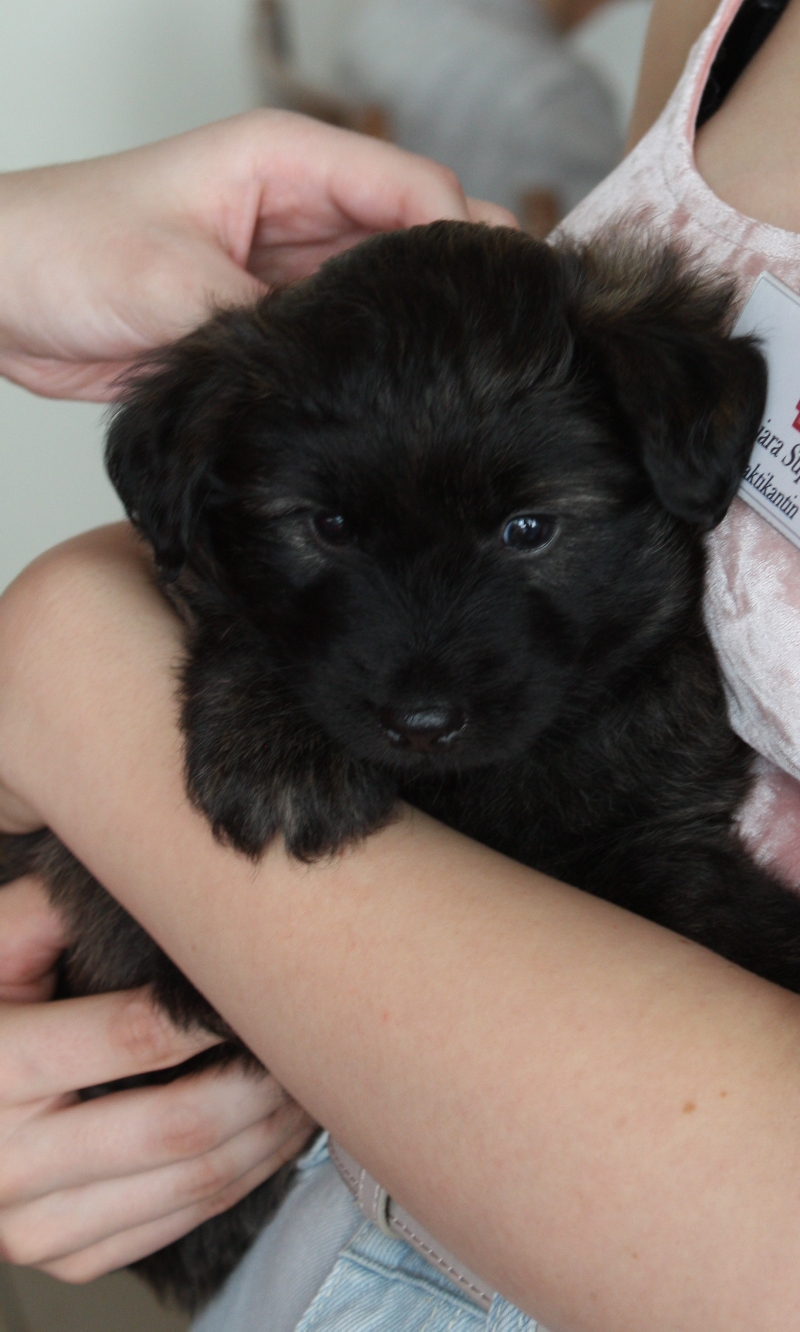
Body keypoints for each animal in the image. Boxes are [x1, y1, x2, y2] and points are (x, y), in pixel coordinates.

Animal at [3, 221, 798, 1310]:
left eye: (528, 528)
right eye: (327, 527)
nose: (419, 722)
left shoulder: (655, 831)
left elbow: (715, 907)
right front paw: (273, 740)